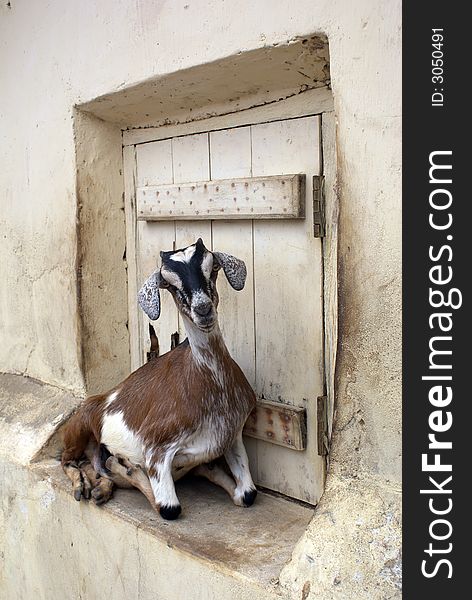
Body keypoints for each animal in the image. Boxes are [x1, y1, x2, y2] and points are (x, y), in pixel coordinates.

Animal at [60, 237, 258, 516]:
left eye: (212, 269)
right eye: (171, 285)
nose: (203, 309)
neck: (212, 389)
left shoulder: (232, 437)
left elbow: (247, 494)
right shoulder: (157, 450)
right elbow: (168, 507)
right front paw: (124, 465)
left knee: (90, 465)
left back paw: (100, 488)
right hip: (78, 427)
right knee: (67, 459)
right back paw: (90, 481)